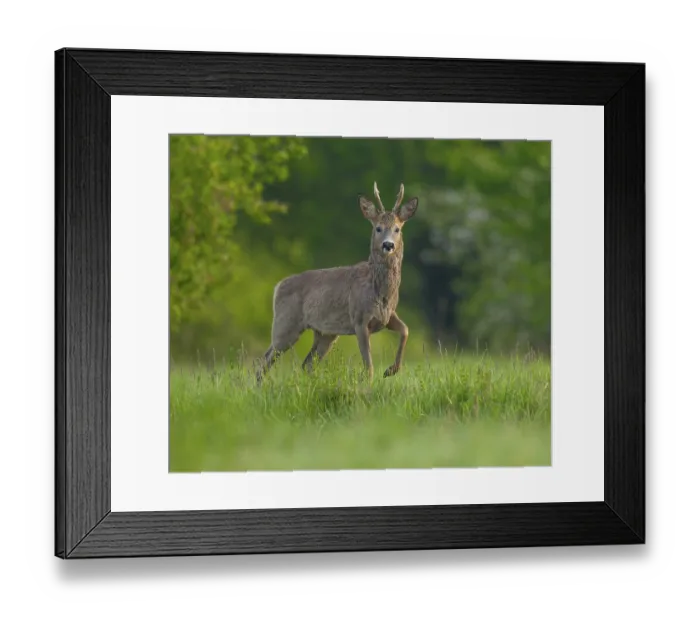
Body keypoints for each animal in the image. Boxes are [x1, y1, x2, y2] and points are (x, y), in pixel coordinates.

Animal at [255, 182, 419, 385]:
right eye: (378, 228)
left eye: (397, 229)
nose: (388, 245)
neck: (380, 291)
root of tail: (277, 287)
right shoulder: (359, 319)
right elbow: (369, 367)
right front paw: (371, 384)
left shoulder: (387, 315)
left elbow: (405, 330)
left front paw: (391, 370)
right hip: (285, 323)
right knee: (264, 361)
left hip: (325, 333)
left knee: (306, 364)